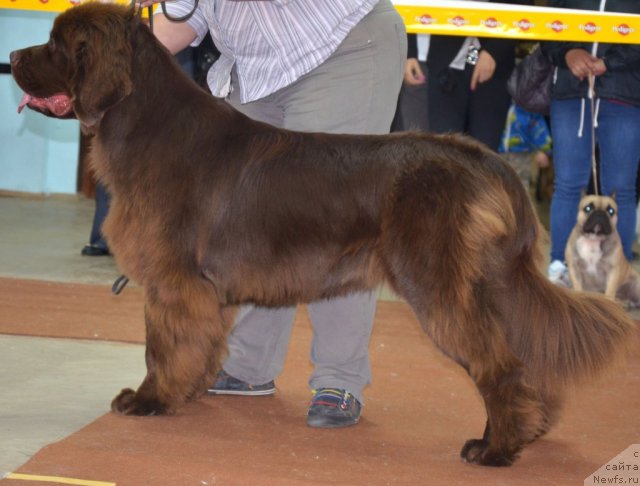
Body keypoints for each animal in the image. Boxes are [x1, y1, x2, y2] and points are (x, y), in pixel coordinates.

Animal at [11, 2, 636, 468]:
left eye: (57, 43)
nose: (12, 55)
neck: (144, 122)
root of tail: (484, 160)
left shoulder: (174, 278)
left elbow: (161, 345)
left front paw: (150, 400)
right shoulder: (203, 290)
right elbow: (199, 344)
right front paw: (189, 390)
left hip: (438, 283)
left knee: (499, 363)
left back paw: (495, 449)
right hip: (489, 281)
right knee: (525, 349)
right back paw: (532, 428)